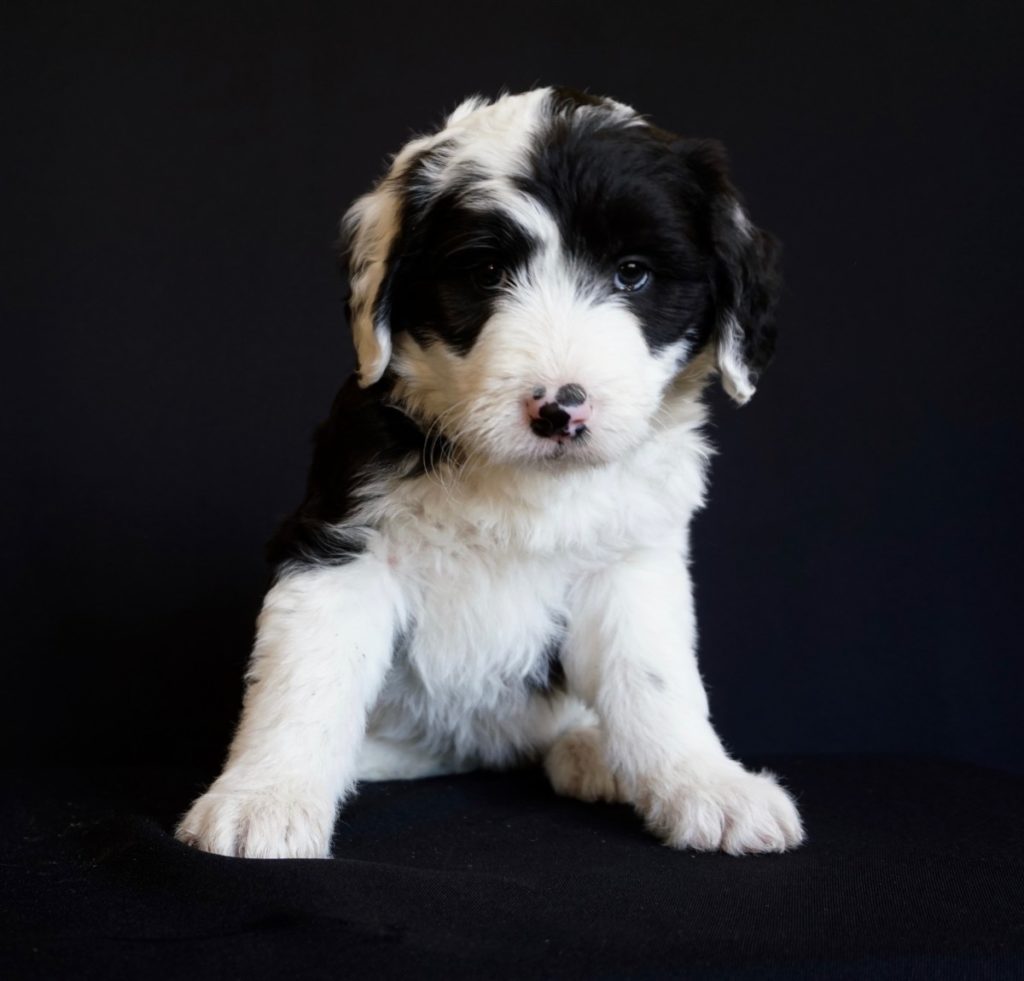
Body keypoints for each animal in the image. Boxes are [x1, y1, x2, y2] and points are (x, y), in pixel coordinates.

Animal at [178, 90, 806, 860]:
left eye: (632, 272)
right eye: (485, 274)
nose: (559, 409)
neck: (515, 476)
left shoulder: (631, 562)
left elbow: (656, 679)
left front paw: (707, 786)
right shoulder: (342, 544)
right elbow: (306, 679)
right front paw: (263, 798)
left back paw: (593, 751)